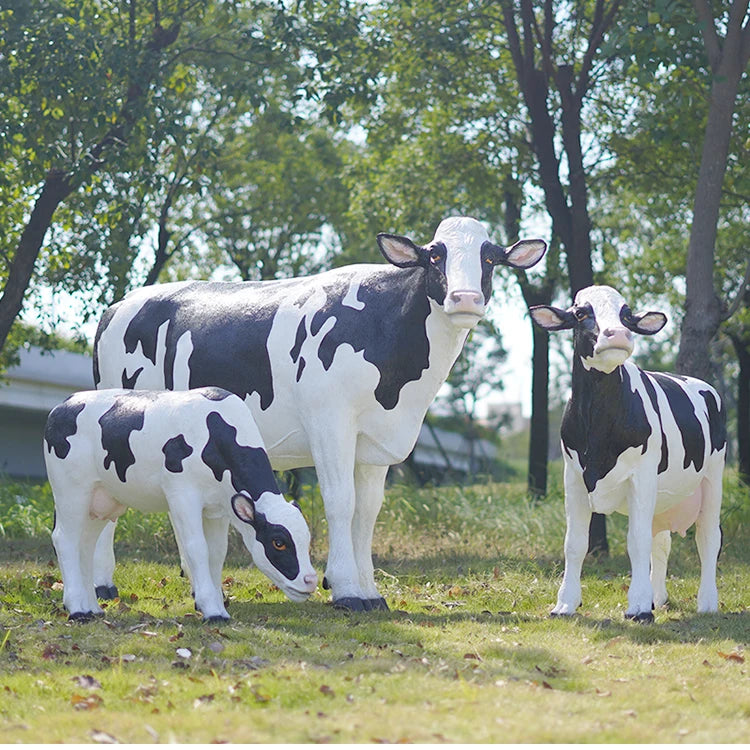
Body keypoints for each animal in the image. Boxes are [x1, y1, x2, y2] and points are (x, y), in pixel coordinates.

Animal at [44, 387, 317, 622]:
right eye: (278, 542)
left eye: (306, 539)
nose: (310, 580)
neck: (214, 434)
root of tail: (65, 403)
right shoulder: (183, 494)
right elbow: (196, 548)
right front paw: (212, 610)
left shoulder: (217, 509)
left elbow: (217, 551)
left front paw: (217, 603)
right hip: (71, 490)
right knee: (65, 539)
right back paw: (78, 609)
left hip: (101, 501)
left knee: (85, 544)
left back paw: (92, 607)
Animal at [92, 215, 547, 611]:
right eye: (435, 255)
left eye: (490, 258)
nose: (465, 298)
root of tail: (121, 303)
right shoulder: (331, 421)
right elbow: (340, 500)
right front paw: (346, 590)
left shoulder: (375, 441)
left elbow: (368, 511)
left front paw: (370, 591)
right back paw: (102, 585)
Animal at [529, 285, 726, 622]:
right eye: (580, 312)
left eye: (627, 314)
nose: (618, 334)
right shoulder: (573, 477)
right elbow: (575, 543)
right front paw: (565, 604)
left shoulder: (642, 476)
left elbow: (636, 541)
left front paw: (637, 607)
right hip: (663, 496)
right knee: (661, 541)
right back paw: (657, 597)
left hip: (713, 476)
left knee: (708, 538)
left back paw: (708, 602)